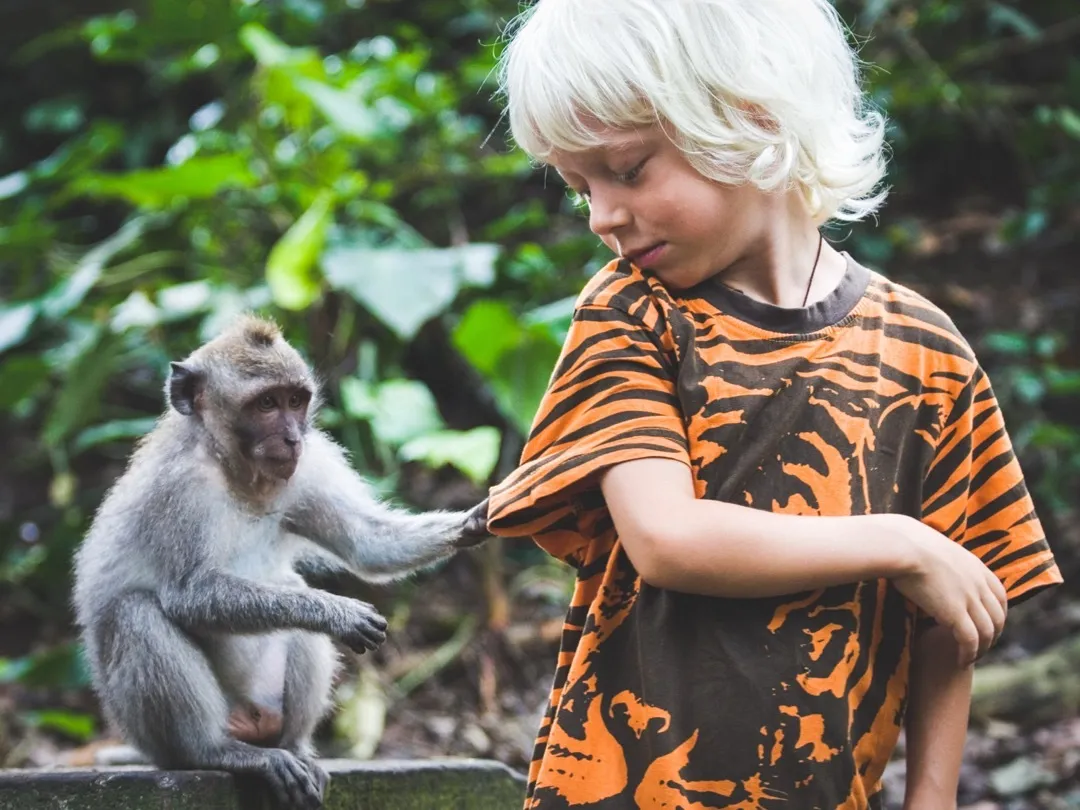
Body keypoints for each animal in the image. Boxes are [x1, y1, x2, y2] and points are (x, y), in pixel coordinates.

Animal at [72, 315, 489, 810]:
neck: (235, 469)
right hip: (150, 732)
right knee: (135, 613)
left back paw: (293, 746)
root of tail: (251, 723)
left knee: (291, 596)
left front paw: (476, 520)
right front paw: (337, 612)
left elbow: (366, 543)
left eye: (295, 400)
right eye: (266, 404)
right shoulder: (177, 490)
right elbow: (189, 594)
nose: (291, 438)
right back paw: (215, 752)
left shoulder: (308, 466)